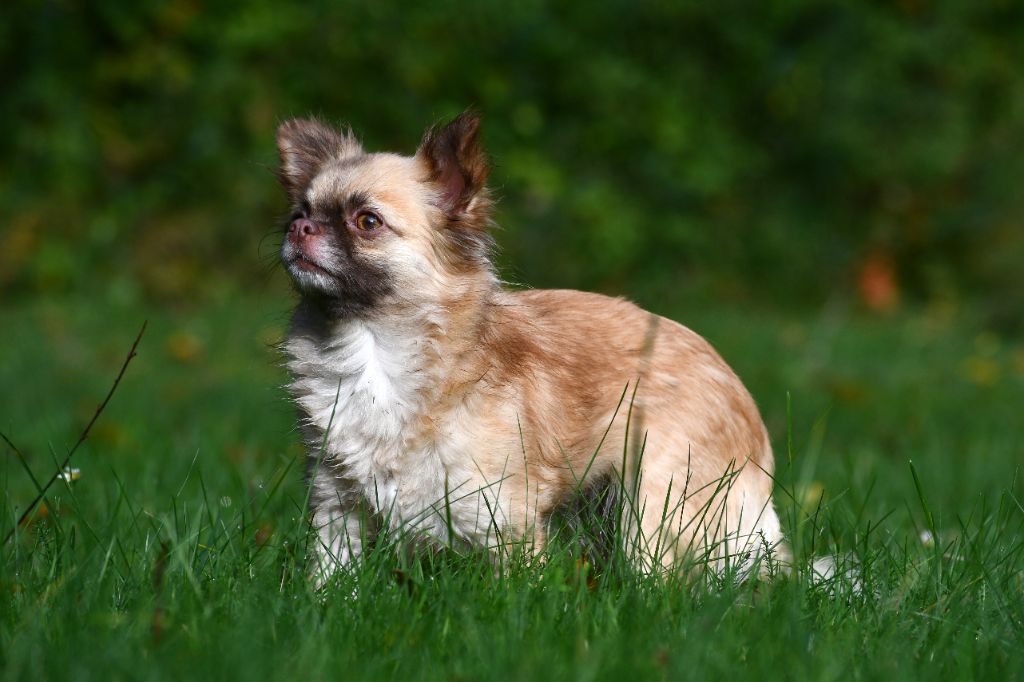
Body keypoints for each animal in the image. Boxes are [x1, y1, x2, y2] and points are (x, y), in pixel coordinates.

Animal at [276, 112, 778, 585]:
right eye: (300, 210)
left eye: (367, 222)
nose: (299, 226)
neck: (375, 355)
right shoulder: (338, 510)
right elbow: (332, 579)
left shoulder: (499, 521)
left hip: (656, 502)